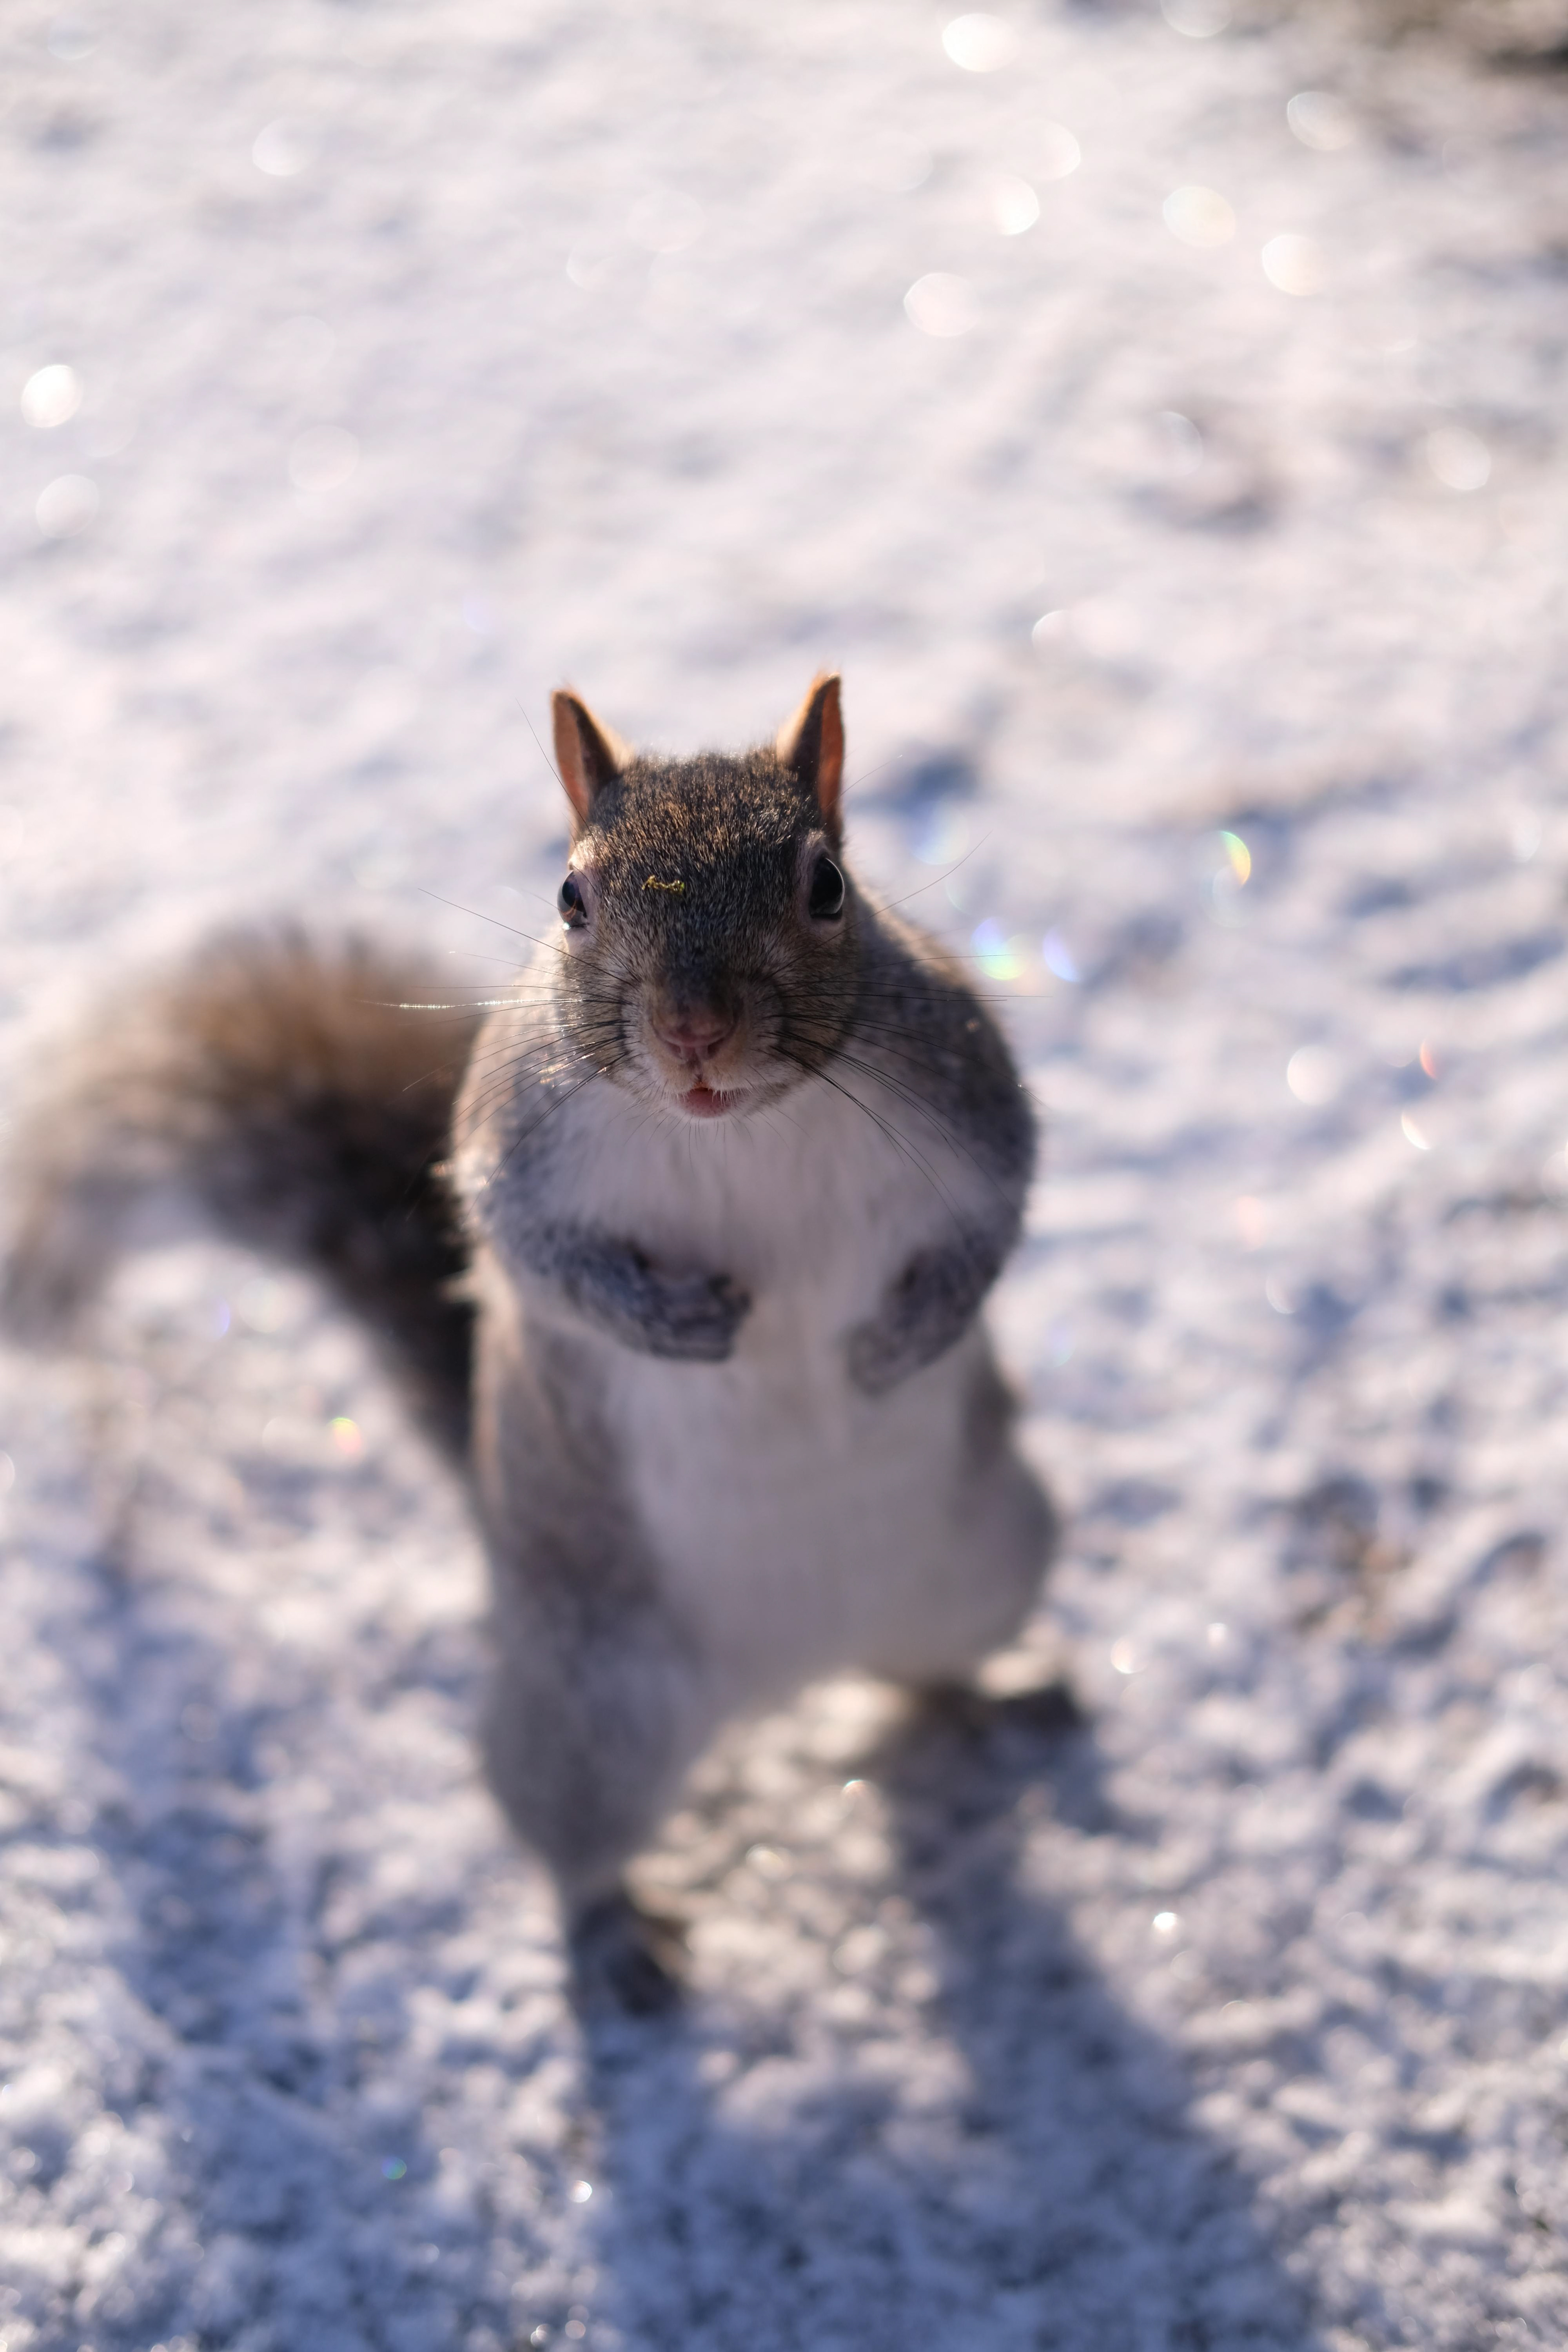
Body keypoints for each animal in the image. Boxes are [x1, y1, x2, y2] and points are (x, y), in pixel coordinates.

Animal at [2, 674, 1057, 2010]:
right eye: (569, 897)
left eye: (827, 884)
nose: (693, 1030)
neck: (732, 1127)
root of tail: (793, 1672)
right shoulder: (515, 1138)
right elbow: (528, 1248)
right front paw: (674, 1322)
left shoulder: (964, 1090)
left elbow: (998, 1216)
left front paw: (897, 1344)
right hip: (592, 1719)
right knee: (568, 1839)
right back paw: (614, 1937)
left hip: (993, 1562)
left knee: (926, 1673)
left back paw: (1010, 1697)